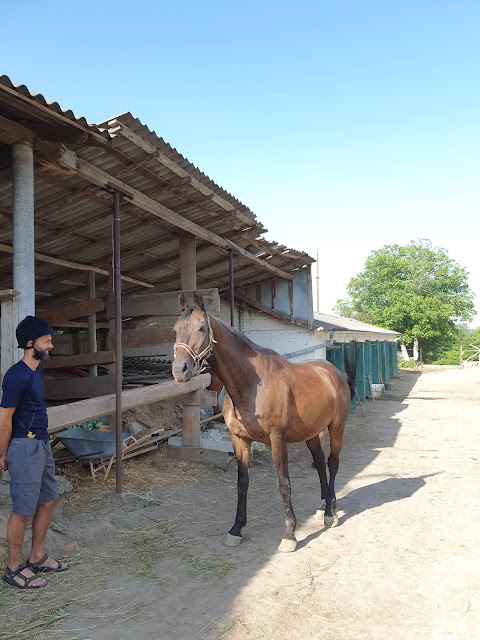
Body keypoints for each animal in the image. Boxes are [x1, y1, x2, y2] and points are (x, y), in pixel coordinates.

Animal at [172, 292, 356, 552]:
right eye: (175, 330)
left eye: (201, 328)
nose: (180, 370)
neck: (250, 385)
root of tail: (333, 373)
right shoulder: (239, 440)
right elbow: (242, 483)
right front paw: (236, 529)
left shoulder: (277, 440)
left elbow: (283, 484)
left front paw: (289, 534)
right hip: (312, 434)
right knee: (320, 464)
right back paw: (325, 504)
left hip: (336, 428)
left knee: (332, 463)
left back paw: (330, 514)